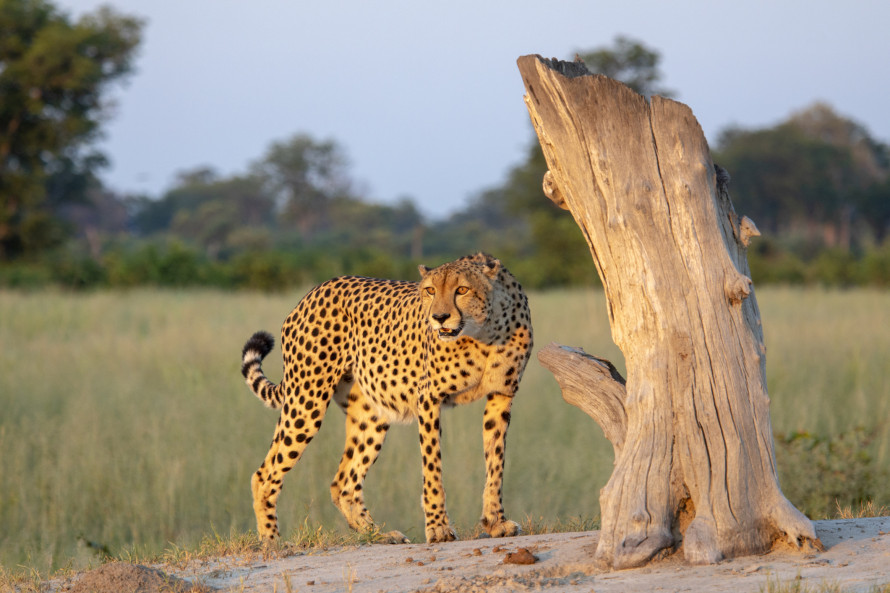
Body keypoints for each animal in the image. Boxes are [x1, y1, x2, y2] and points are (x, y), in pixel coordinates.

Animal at [239, 252, 532, 544]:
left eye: (462, 290)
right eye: (430, 290)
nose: (439, 317)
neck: (485, 332)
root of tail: (315, 290)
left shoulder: (502, 395)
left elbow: (495, 463)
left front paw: (495, 522)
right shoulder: (428, 398)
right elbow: (432, 468)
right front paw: (438, 528)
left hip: (371, 415)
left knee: (344, 483)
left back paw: (378, 534)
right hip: (306, 401)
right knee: (264, 474)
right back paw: (272, 542)